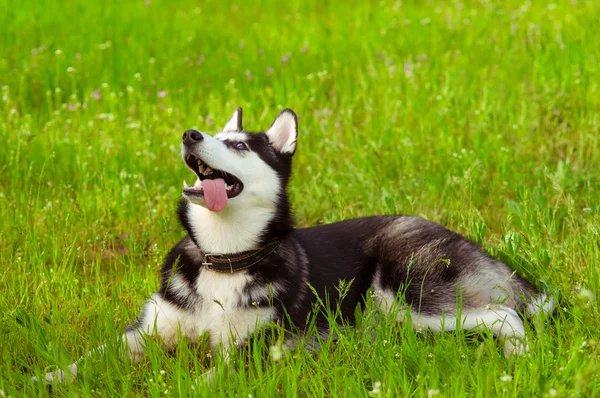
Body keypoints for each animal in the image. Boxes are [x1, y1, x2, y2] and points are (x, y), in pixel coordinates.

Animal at [35, 107, 556, 384]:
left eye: (239, 146)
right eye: (212, 132)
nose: (190, 134)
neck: (224, 259)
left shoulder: (253, 351)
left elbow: (207, 378)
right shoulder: (144, 332)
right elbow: (88, 358)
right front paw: (45, 380)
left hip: (408, 297)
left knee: (505, 314)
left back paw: (519, 357)